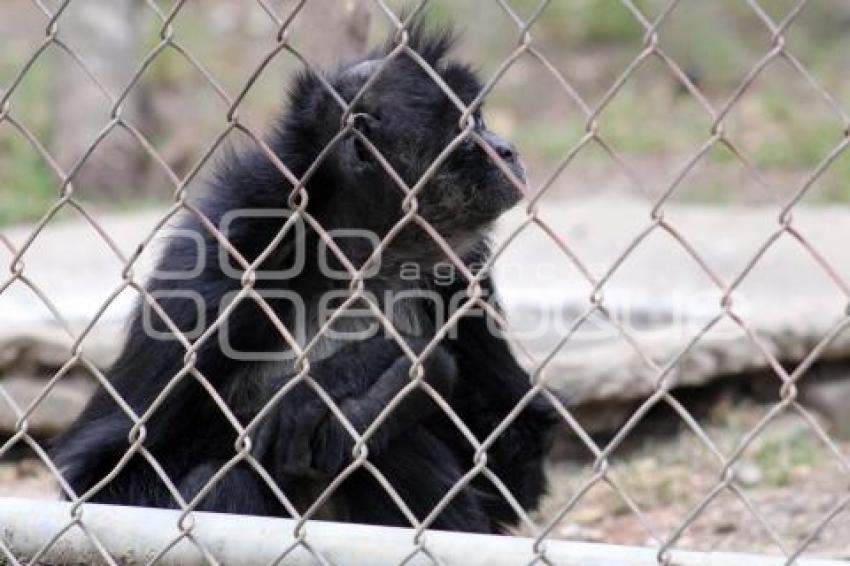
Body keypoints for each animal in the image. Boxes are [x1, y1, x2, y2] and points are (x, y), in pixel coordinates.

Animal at [53, 23, 556, 536]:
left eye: (482, 121)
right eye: (465, 130)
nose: (506, 149)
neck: (354, 256)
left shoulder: (463, 267)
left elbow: (516, 474)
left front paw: (335, 391)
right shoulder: (219, 261)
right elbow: (98, 479)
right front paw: (360, 372)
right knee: (225, 481)